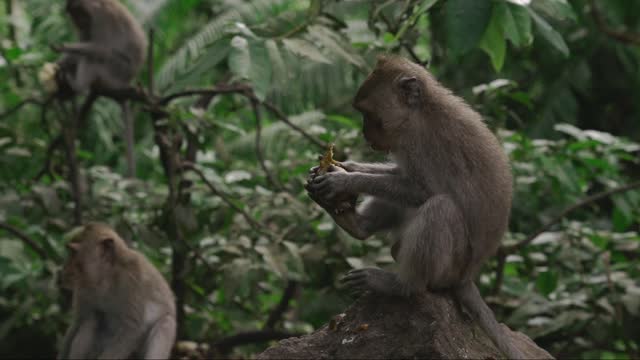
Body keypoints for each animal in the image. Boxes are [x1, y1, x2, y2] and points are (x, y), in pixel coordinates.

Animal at [53, 0, 148, 178]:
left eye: (81, 17)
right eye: (77, 20)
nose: (82, 25)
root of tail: (128, 81)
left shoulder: (99, 18)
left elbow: (100, 47)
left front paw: (63, 47)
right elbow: (84, 43)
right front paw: (61, 62)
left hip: (115, 70)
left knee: (96, 56)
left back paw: (78, 85)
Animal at [58, 224, 175, 358]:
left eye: (73, 253)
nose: (63, 270)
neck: (106, 277)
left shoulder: (133, 278)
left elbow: (131, 328)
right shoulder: (84, 287)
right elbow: (78, 322)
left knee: (166, 323)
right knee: (93, 317)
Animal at [308, 54, 524, 358]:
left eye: (368, 113)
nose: (365, 134)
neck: (421, 112)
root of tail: (466, 277)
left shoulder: (419, 142)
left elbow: (423, 190)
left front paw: (343, 180)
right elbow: (399, 175)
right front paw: (345, 167)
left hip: (450, 266)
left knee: (440, 207)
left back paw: (402, 285)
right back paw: (358, 226)